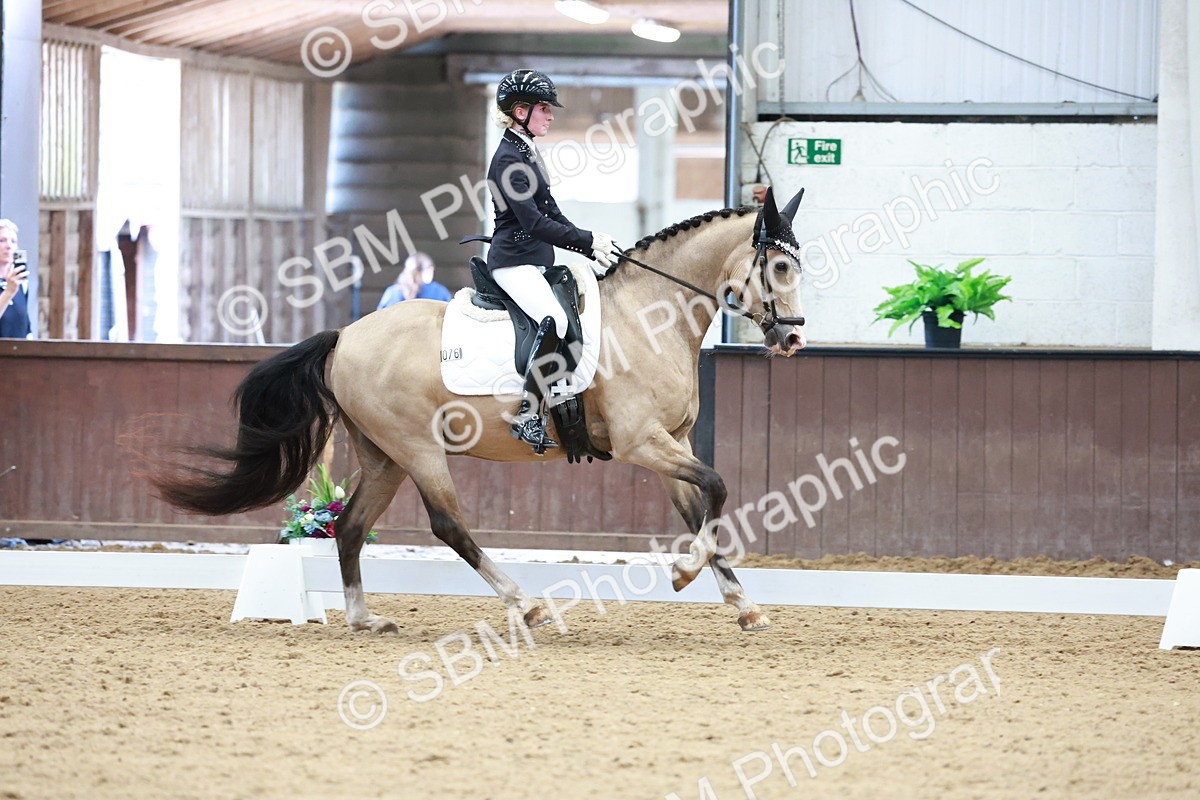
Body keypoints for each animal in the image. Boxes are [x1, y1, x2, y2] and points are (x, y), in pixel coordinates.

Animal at [152, 186, 808, 633]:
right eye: (779, 266)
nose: (794, 339)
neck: (650, 316)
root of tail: (346, 335)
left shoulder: (672, 441)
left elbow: (702, 511)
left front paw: (743, 605)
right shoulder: (641, 442)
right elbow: (717, 488)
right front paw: (683, 575)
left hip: (383, 456)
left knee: (352, 527)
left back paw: (364, 619)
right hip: (417, 448)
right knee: (448, 526)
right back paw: (525, 603)